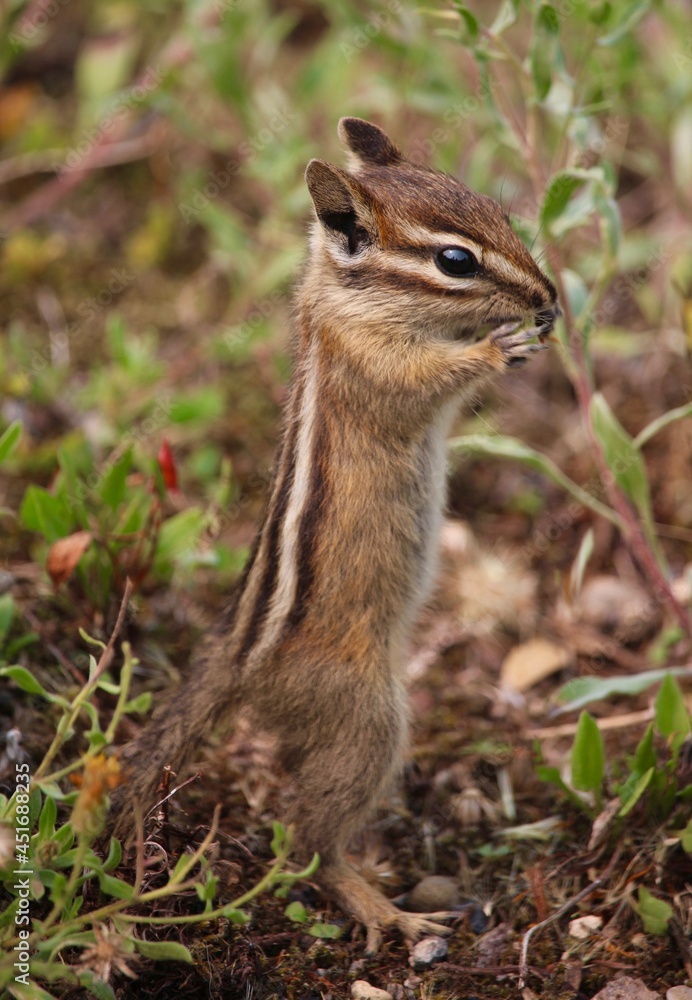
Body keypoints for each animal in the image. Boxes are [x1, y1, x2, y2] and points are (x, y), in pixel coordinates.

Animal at [109, 118, 558, 952]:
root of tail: (238, 659)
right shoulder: (375, 366)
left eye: (499, 212)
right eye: (455, 261)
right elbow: (427, 382)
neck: (344, 301)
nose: (550, 298)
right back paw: (382, 906)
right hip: (366, 714)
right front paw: (498, 347)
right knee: (305, 841)